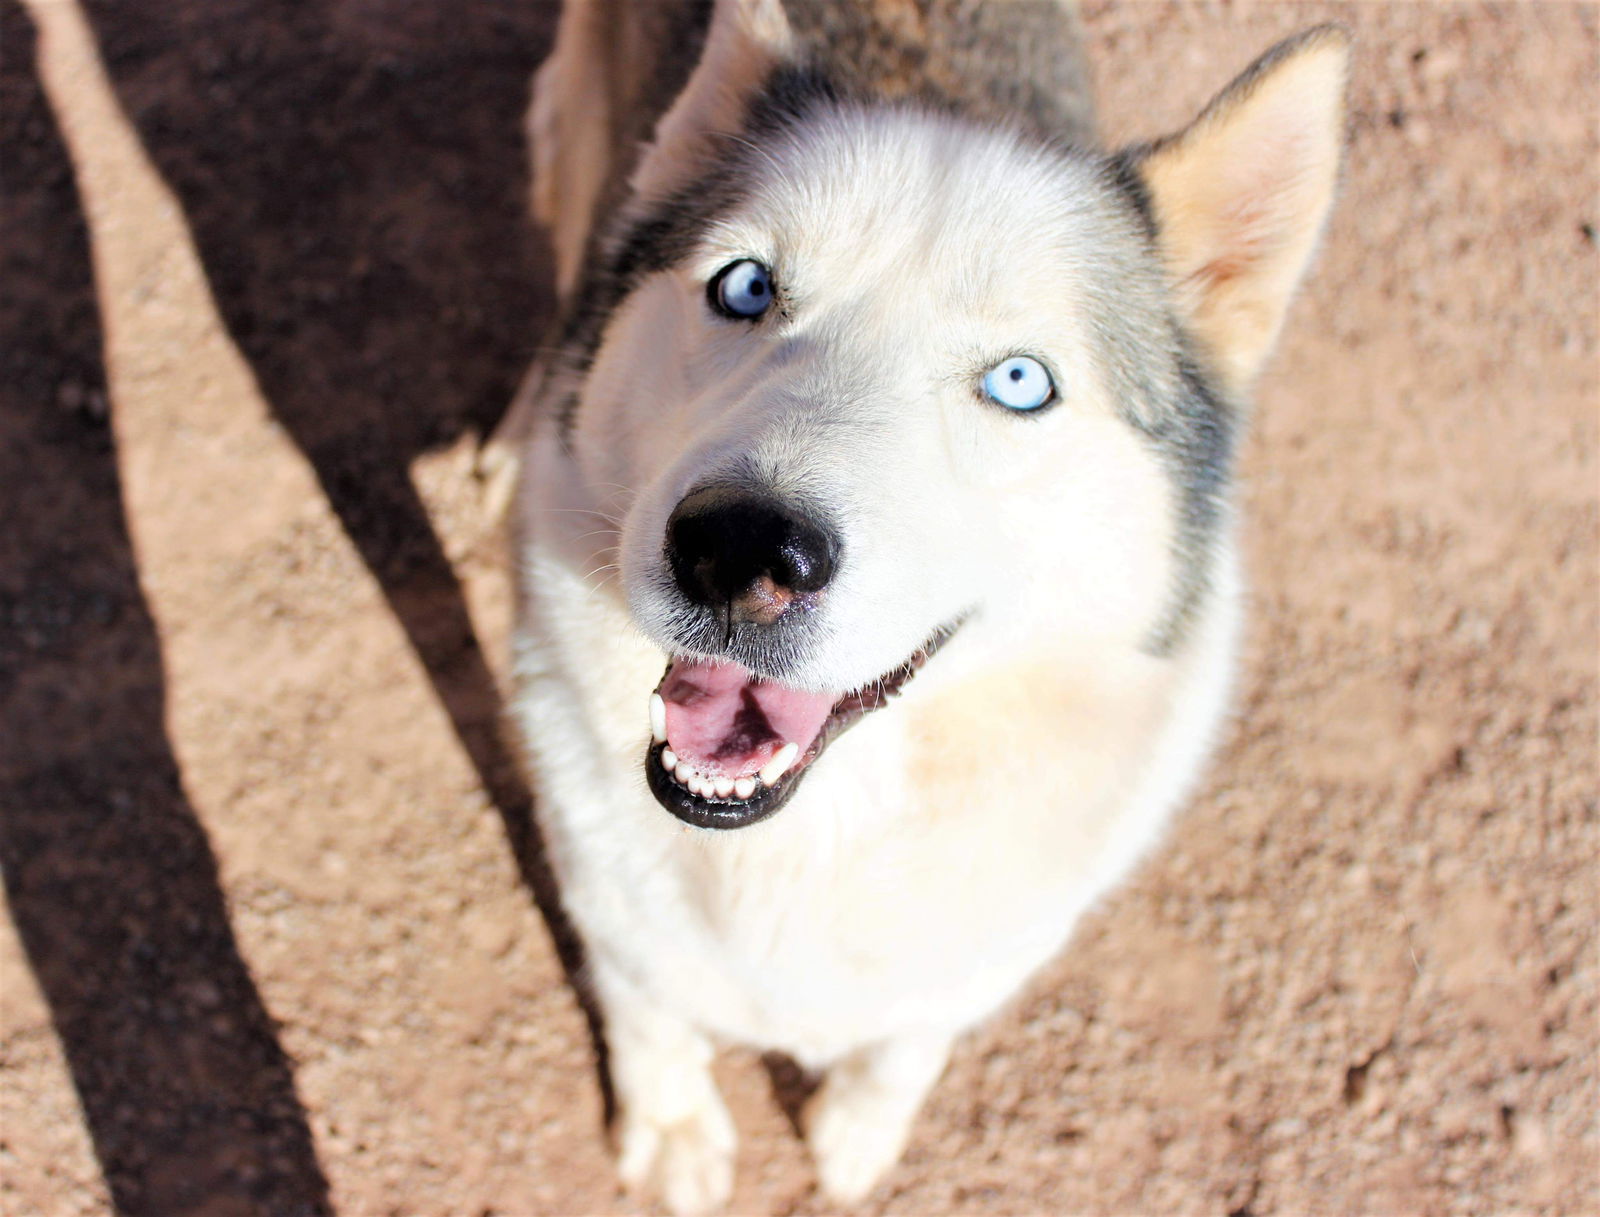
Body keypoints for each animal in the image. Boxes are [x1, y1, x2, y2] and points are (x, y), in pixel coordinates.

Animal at [505, 2, 1344, 1209]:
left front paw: (859, 1129)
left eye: (1019, 383)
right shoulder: (605, 893)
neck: (811, 839)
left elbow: (908, 1039)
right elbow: (650, 1007)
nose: (738, 549)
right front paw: (669, 1125)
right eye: (745, 288)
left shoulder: (989, 942)